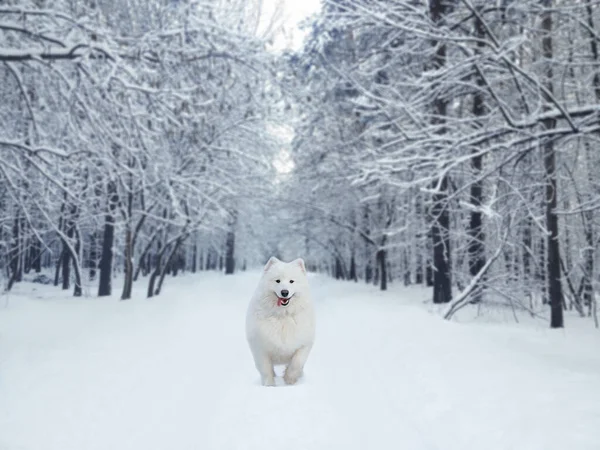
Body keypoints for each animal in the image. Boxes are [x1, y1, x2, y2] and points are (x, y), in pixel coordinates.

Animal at [245, 256, 316, 386]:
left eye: (291, 281)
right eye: (277, 281)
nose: (284, 292)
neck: (283, 315)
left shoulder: (304, 343)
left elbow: (297, 363)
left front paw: (289, 379)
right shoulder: (260, 347)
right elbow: (266, 369)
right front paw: (269, 385)